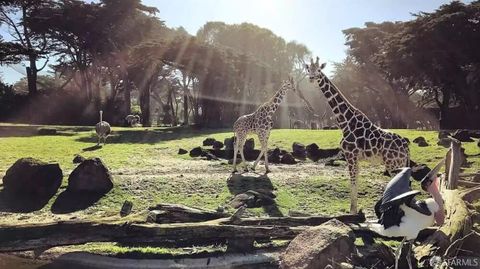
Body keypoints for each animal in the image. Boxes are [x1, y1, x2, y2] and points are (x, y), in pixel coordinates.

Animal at [306, 57, 410, 213]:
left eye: (318, 70)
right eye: (309, 69)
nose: (311, 78)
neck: (345, 121)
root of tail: (406, 145)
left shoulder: (350, 155)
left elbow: (353, 183)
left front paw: (352, 212)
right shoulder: (357, 158)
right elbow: (356, 182)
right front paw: (354, 210)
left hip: (393, 164)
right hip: (400, 164)